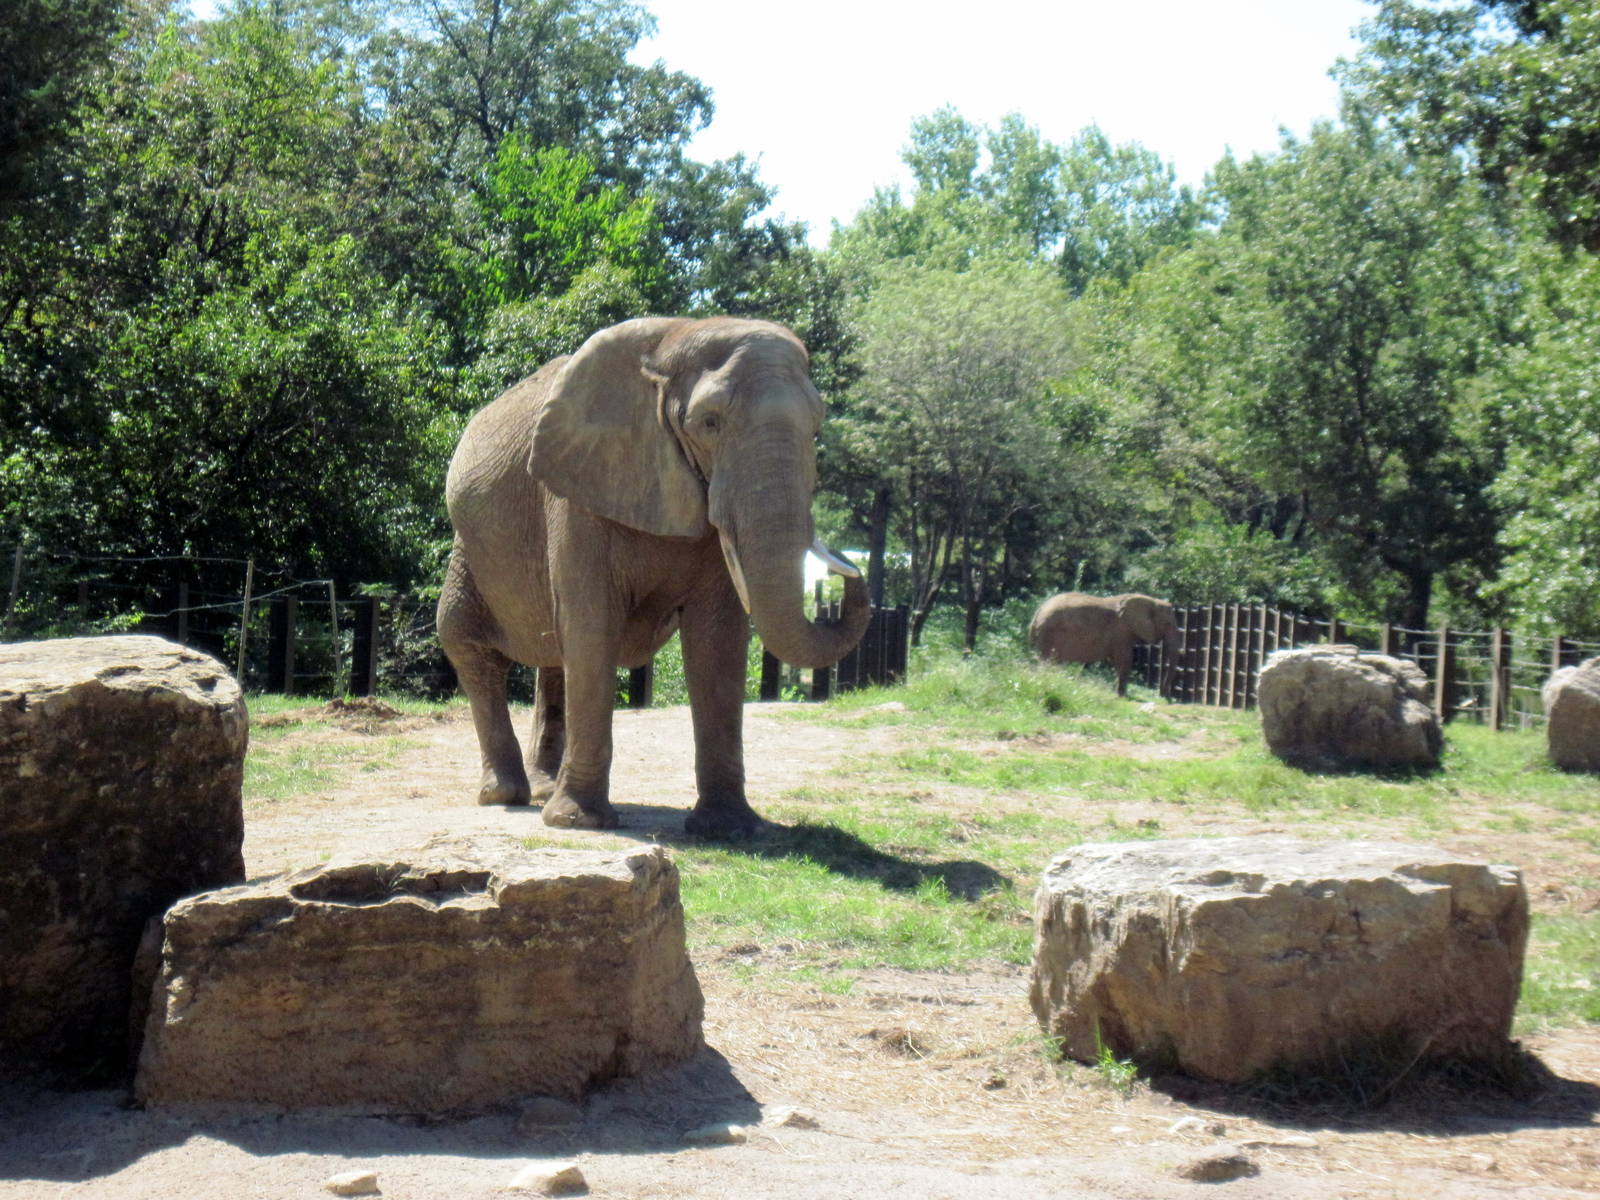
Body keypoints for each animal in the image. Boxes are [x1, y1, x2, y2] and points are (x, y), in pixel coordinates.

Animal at [437, 316, 870, 837]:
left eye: (818, 426)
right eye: (709, 423)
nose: (851, 570)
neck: (675, 342)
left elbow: (718, 640)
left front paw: (727, 829)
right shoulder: (577, 493)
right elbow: (592, 626)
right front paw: (578, 824)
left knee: (553, 654)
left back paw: (541, 790)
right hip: (468, 547)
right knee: (466, 640)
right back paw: (505, 795)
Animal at [1028, 592, 1179, 697]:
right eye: (1168, 623)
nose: (1165, 696)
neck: (1152, 601)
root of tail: (1037, 613)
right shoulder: (1121, 632)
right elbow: (1124, 660)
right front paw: (1123, 696)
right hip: (1049, 633)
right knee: (1049, 661)